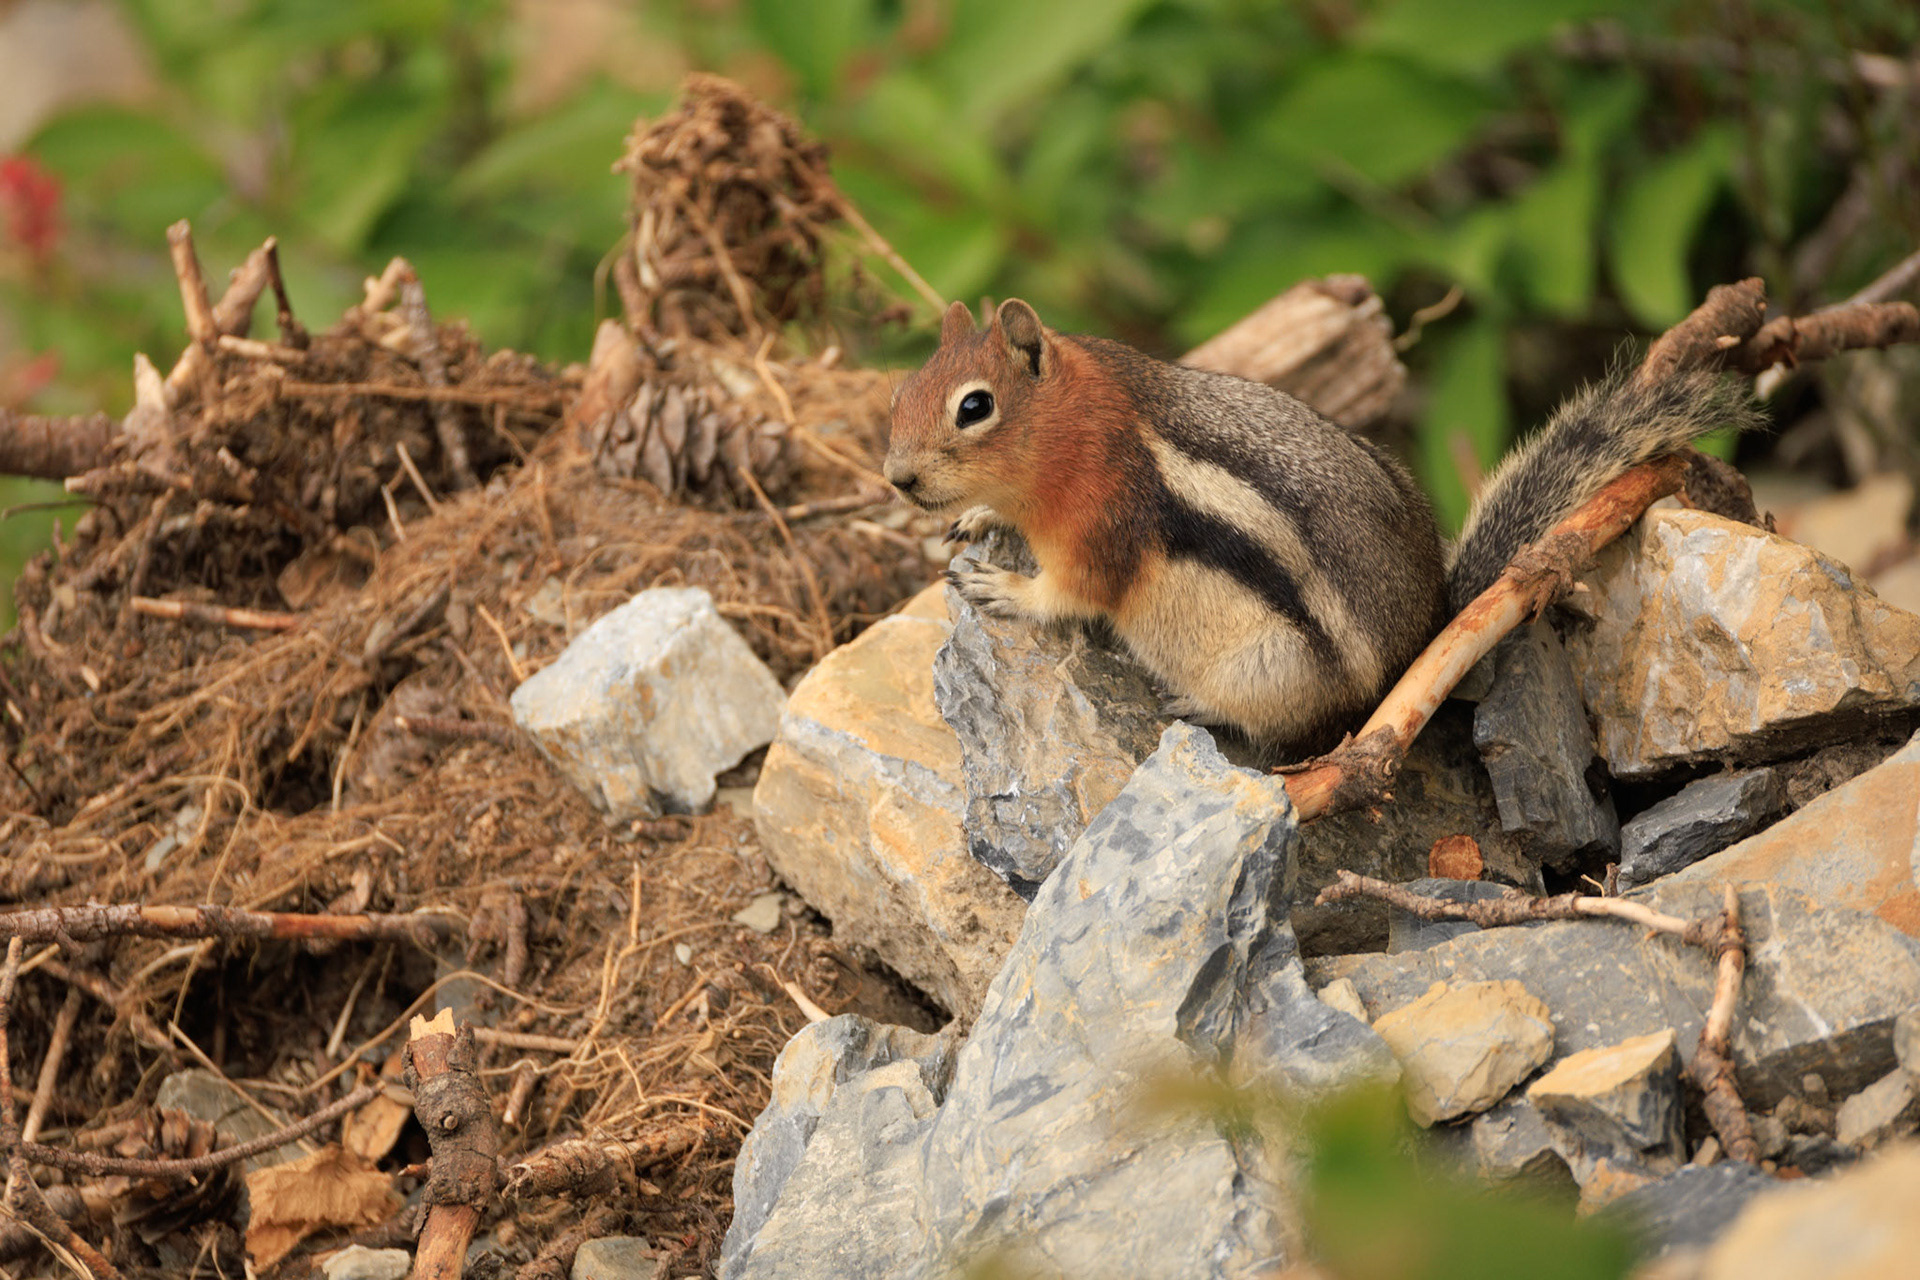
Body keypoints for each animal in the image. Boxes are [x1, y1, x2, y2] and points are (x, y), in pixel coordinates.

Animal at [885, 298, 1752, 758]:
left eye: (974, 407)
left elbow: (1072, 594)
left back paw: (1200, 706)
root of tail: (1426, 634)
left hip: (1275, 672)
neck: (1081, 428)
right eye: (903, 388)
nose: (897, 478)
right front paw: (979, 516)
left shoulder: (1102, 529)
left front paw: (1004, 584)